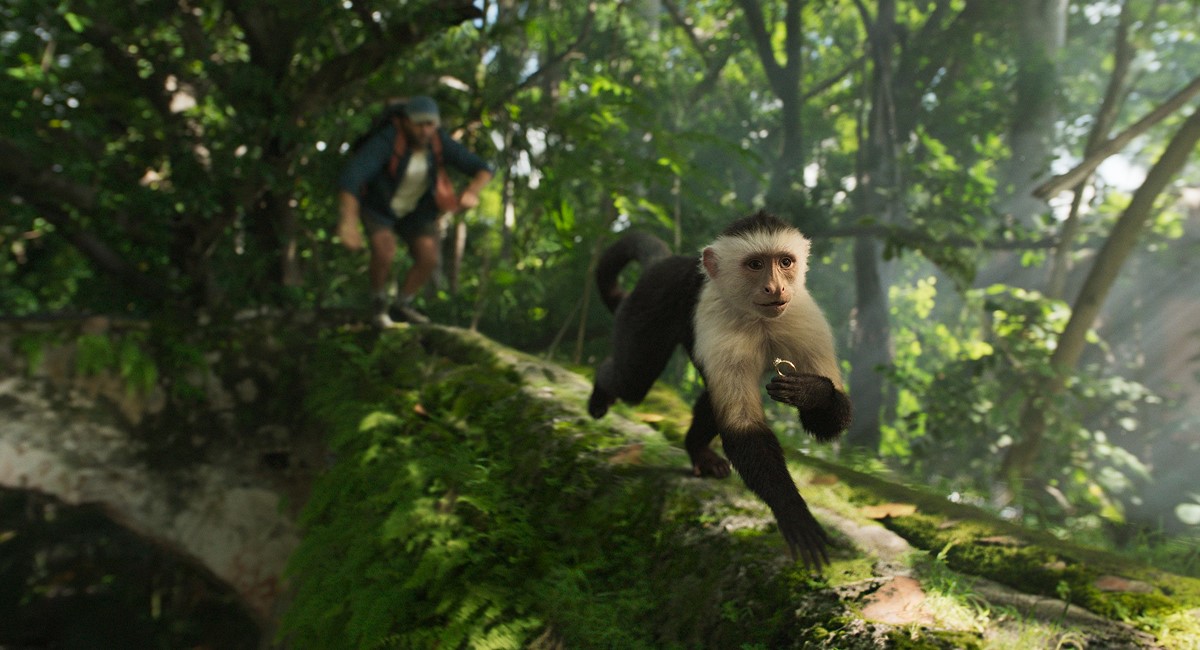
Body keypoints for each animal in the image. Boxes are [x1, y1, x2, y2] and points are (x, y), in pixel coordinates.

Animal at [588, 210, 852, 570]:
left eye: (785, 262)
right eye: (755, 265)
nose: (776, 286)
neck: (760, 319)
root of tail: (670, 261)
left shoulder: (805, 321)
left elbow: (830, 421)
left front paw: (811, 393)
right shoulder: (722, 327)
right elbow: (743, 427)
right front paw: (793, 512)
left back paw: (697, 449)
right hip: (648, 304)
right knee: (633, 381)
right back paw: (602, 389)